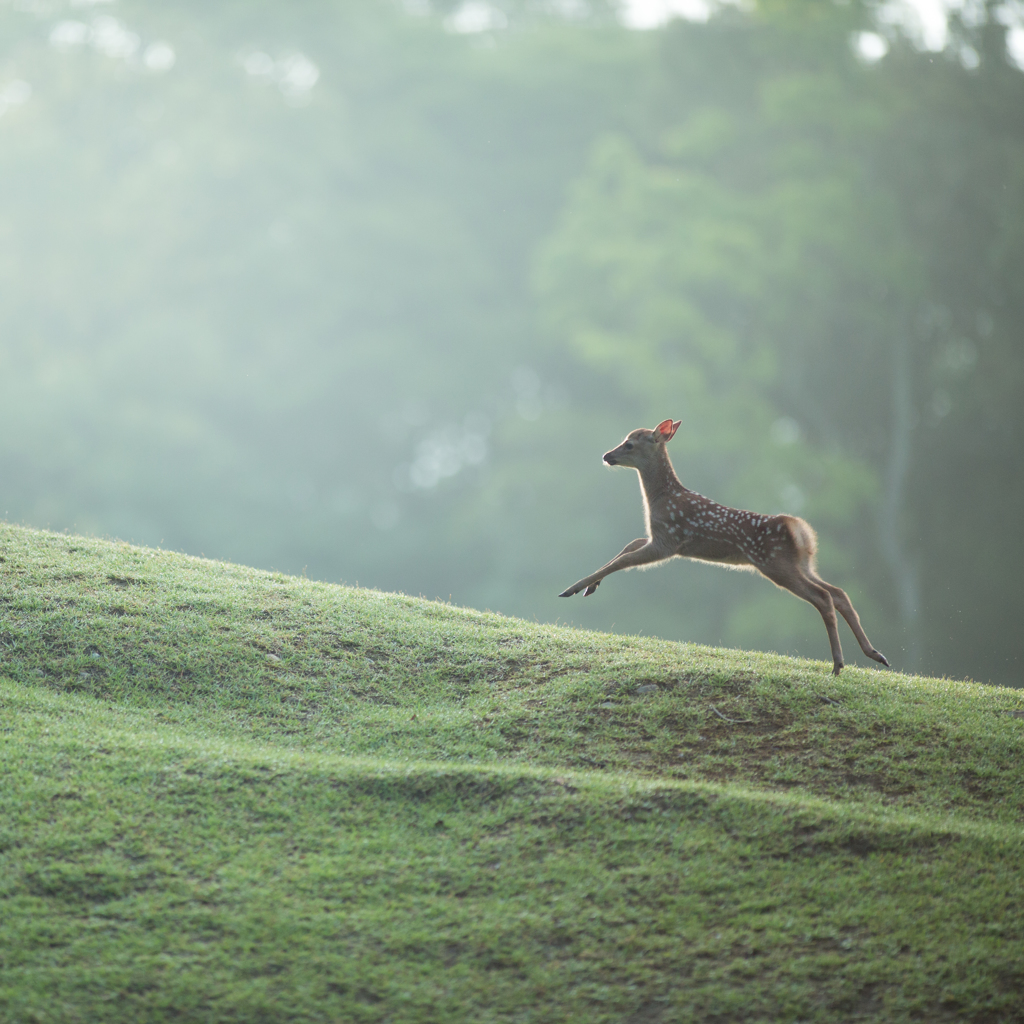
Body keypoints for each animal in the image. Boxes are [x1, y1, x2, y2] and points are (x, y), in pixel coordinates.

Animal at [561, 413, 888, 671]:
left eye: (629, 444)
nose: (607, 455)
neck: (661, 498)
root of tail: (800, 531)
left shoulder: (669, 541)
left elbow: (625, 560)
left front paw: (573, 588)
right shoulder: (659, 539)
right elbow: (628, 545)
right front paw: (590, 586)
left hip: (775, 563)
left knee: (822, 597)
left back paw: (839, 663)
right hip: (803, 563)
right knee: (838, 593)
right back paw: (875, 654)